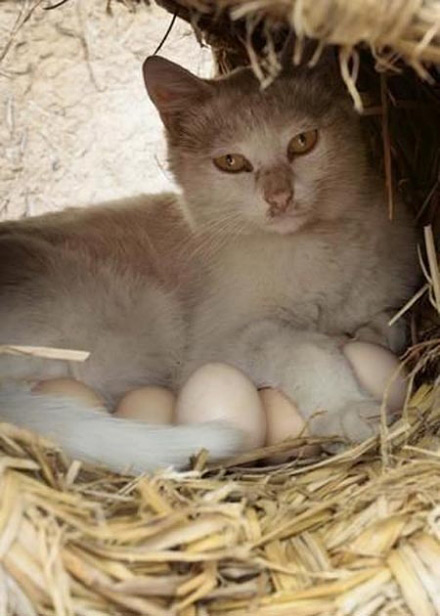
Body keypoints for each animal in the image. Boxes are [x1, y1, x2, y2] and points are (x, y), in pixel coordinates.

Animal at [0, 55, 422, 474]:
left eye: (303, 141)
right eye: (231, 162)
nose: (279, 197)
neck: (314, 248)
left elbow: (387, 321)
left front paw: (366, 335)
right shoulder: (217, 345)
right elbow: (303, 347)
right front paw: (347, 407)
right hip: (138, 319)